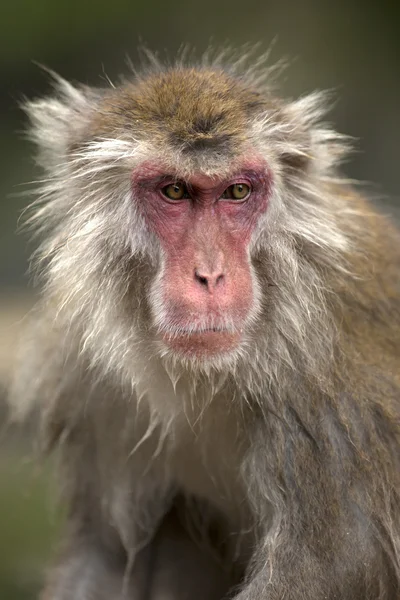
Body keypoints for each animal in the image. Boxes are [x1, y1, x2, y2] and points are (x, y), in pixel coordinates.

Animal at [7, 52, 400, 600]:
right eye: (175, 190)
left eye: (237, 191)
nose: (210, 276)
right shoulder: (86, 380)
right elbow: (106, 556)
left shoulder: (332, 405)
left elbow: (325, 569)